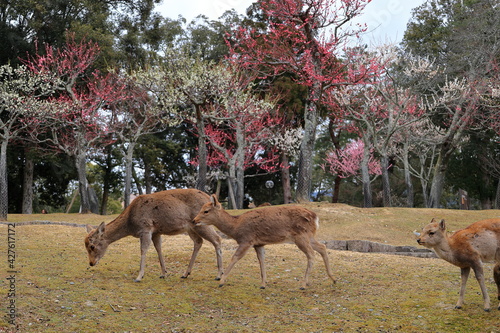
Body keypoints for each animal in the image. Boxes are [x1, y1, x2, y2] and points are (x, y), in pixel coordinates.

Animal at [84, 188, 223, 282]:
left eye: (92, 246)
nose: (91, 263)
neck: (130, 223)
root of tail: (213, 201)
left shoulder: (145, 228)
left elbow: (143, 249)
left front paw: (139, 276)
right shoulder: (156, 232)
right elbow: (158, 249)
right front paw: (164, 273)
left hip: (202, 223)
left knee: (217, 239)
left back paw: (219, 275)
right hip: (191, 228)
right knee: (198, 241)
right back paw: (185, 273)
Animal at [192, 193, 336, 290]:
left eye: (206, 211)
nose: (194, 220)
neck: (236, 227)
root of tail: (315, 217)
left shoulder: (247, 239)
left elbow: (235, 257)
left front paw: (221, 281)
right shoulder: (258, 243)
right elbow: (261, 261)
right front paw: (263, 284)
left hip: (301, 236)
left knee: (311, 254)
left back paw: (303, 284)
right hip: (309, 236)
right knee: (322, 247)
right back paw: (333, 278)